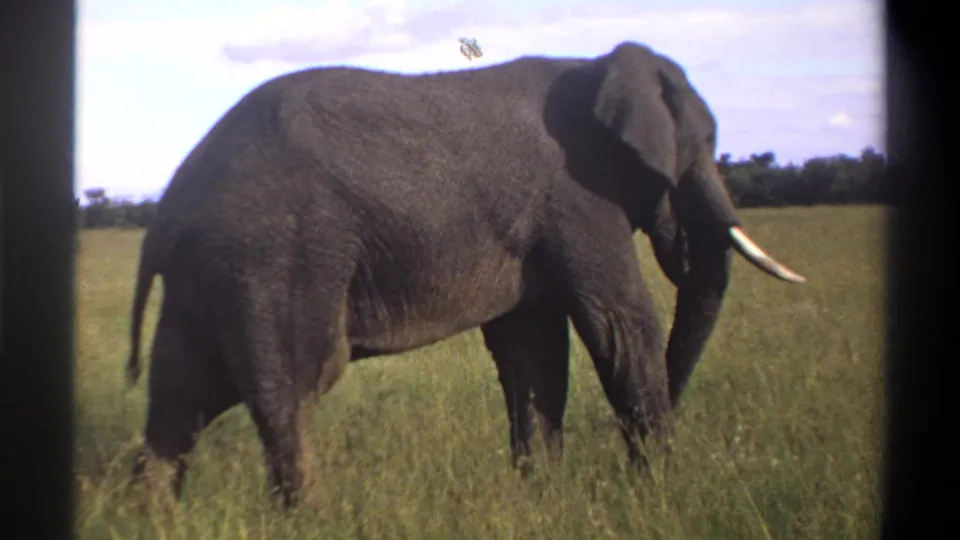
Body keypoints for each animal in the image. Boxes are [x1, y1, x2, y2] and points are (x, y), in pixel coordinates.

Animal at [125, 41, 805, 508]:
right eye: (703, 151)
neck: (595, 67)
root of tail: (170, 206)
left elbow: (533, 349)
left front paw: (541, 496)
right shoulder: (578, 197)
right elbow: (619, 322)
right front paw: (662, 489)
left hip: (209, 274)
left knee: (178, 403)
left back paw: (154, 517)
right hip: (273, 259)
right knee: (291, 390)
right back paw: (311, 517)